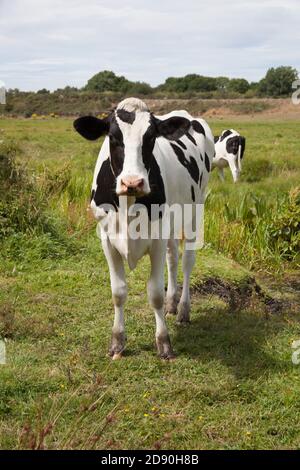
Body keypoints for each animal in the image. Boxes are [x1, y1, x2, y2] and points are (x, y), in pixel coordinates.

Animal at [73, 98, 214, 360]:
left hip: (195, 210)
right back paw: (172, 304)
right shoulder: (106, 238)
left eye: (150, 138)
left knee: (187, 261)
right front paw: (117, 341)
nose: (132, 182)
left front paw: (164, 342)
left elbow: (155, 293)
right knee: (173, 258)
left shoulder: (156, 238)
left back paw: (183, 309)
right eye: (113, 137)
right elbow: (118, 291)